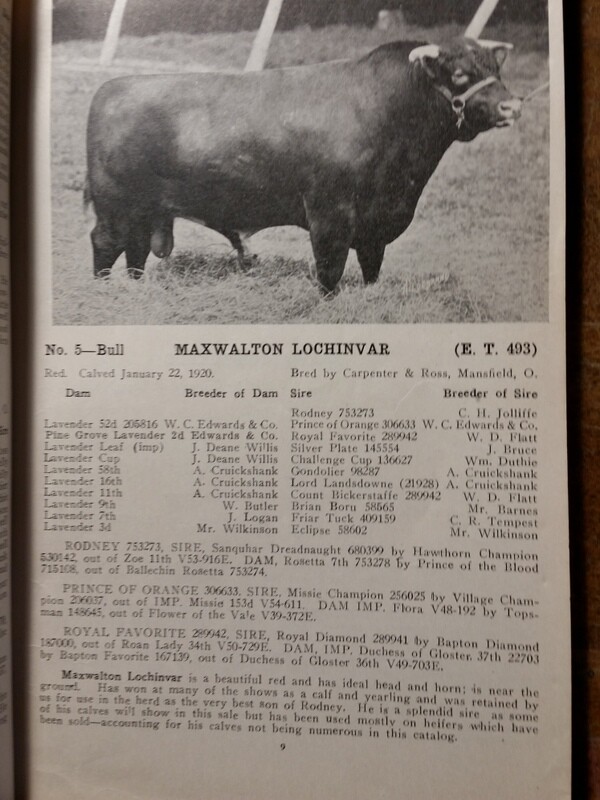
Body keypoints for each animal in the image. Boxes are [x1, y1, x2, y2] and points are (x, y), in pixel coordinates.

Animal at [86, 38, 522, 292]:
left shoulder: (375, 222)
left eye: (496, 70)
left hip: (144, 210)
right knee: (106, 244)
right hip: (115, 205)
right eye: (460, 73)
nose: (511, 106)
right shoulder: (330, 212)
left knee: (136, 251)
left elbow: (371, 265)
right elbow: (330, 267)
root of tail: (112, 88)